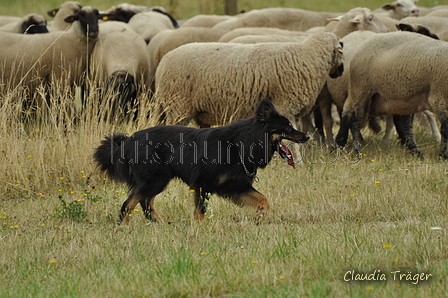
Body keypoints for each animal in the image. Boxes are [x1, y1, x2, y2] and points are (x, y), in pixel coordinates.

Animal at [93, 98, 310, 224]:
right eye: (288, 127)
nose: (307, 137)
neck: (240, 144)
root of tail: (128, 141)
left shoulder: (235, 187)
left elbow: (263, 200)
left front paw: (258, 217)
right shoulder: (203, 185)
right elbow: (200, 212)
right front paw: (200, 229)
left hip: (157, 181)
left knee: (146, 202)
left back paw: (160, 224)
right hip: (155, 180)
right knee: (129, 204)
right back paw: (124, 227)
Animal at [152, 31, 344, 129]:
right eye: (341, 47)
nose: (341, 71)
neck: (308, 57)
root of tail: (162, 64)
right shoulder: (285, 105)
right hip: (179, 107)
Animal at [336, 31, 448, 159]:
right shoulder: (439, 97)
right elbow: (445, 129)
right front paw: (443, 155)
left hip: (404, 99)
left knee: (405, 125)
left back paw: (417, 153)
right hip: (361, 90)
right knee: (353, 120)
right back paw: (355, 151)